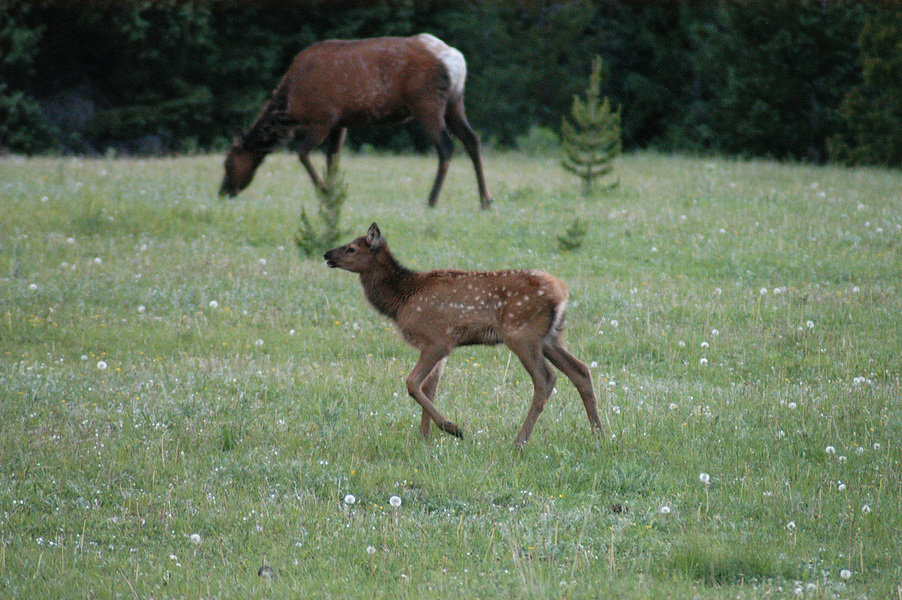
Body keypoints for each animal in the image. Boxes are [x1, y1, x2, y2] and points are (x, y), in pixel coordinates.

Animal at [221, 35, 494, 210]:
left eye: (228, 163)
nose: (223, 191)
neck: (290, 107)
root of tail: (456, 60)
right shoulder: (340, 122)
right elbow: (332, 158)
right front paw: (333, 195)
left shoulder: (323, 117)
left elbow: (303, 153)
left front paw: (324, 190)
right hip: (455, 101)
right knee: (472, 141)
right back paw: (486, 201)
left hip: (426, 101)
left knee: (446, 146)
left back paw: (431, 200)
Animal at [324, 223, 608, 448]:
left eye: (351, 248)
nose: (327, 253)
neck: (401, 301)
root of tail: (562, 292)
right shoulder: (436, 345)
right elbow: (429, 387)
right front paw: (424, 438)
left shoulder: (438, 339)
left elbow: (412, 383)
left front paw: (453, 428)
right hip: (551, 337)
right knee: (580, 370)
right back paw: (600, 435)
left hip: (522, 333)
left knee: (546, 378)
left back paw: (519, 442)